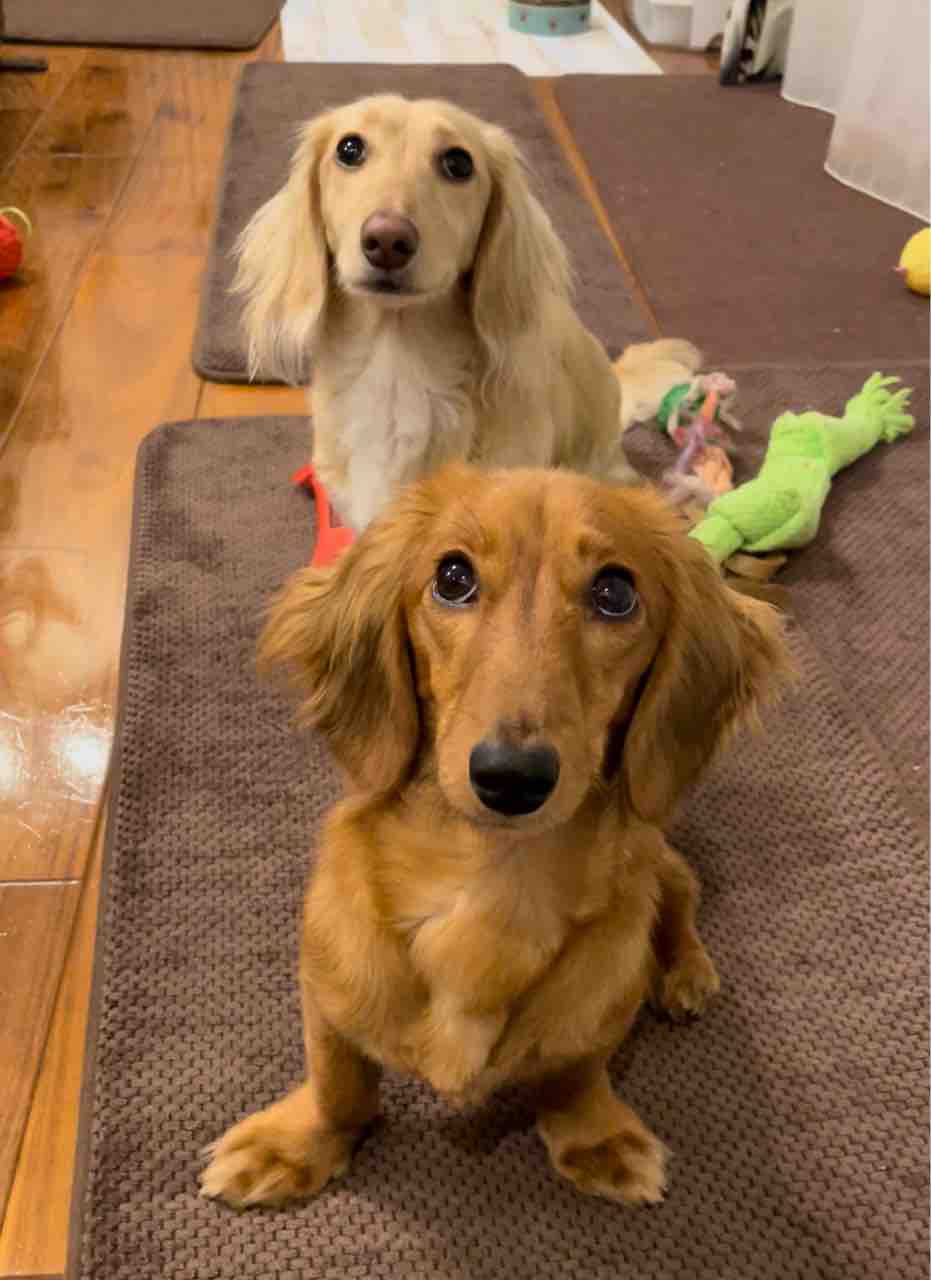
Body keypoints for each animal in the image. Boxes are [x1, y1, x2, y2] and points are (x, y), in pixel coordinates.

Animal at [200, 465, 792, 1208]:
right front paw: (294, 1143)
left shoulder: (596, 1011)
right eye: (452, 577)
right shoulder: (327, 994)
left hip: (654, 859)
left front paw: (595, 1136)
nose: (511, 777)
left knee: (681, 892)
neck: (488, 884)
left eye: (615, 592)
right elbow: (338, 1084)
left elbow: (575, 1074)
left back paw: (685, 970)